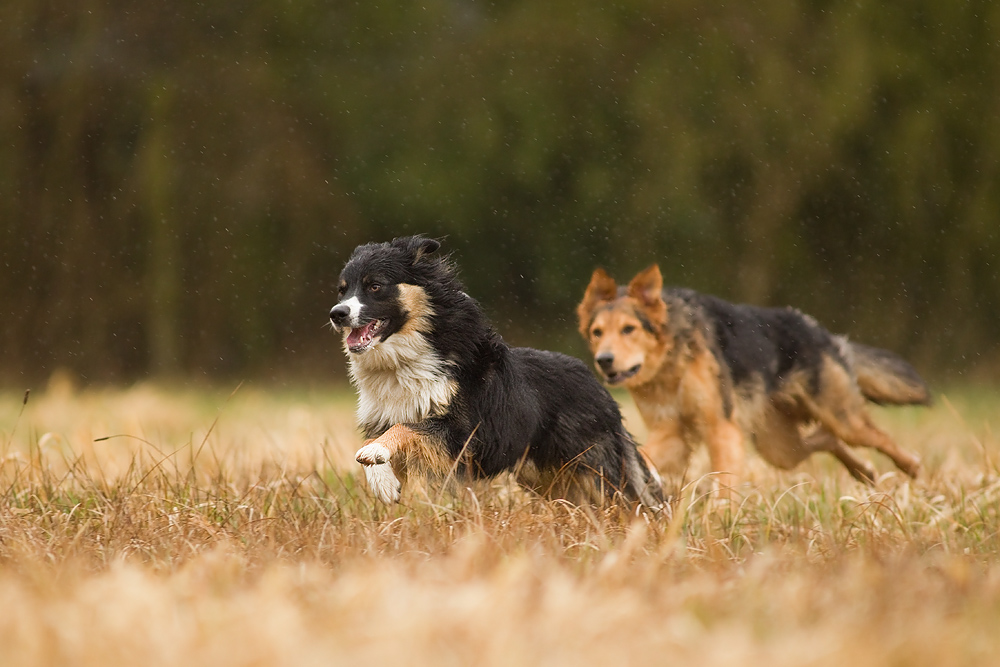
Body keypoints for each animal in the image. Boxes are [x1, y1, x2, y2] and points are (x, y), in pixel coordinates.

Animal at [324, 235, 664, 506]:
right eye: (342, 291)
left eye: (375, 286)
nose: (337, 314)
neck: (404, 360)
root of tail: (603, 391)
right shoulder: (387, 417)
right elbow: (379, 441)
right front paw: (385, 485)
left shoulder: (461, 434)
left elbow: (406, 428)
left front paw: (376, 454)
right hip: (544, 476)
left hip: (595, 468)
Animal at [580, 266, 928, 496]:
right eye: (597, 332)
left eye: (628, 329)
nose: (604, 360)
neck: (671, 361)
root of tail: (821, 331)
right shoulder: (672, 433)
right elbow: (646, 456)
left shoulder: (721, 426)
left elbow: (724, 481)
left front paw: (718, 517)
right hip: (779, 447)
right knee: (825, 438)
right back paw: (864, 472)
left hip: (842, 419)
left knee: (878, 437)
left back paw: (911, 467)